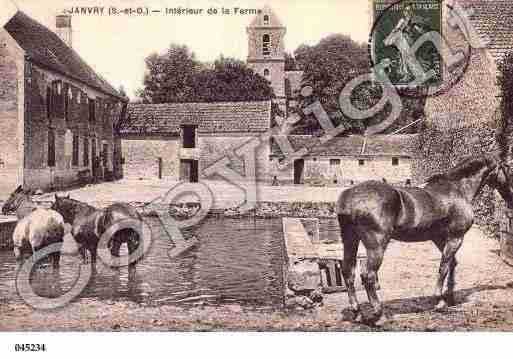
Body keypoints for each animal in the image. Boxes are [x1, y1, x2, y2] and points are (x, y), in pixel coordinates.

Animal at [336, 154, 512, 324]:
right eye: (508, 169)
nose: (510, 197)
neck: (458, 190)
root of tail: (349, 197)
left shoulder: (440, 238)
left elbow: (451, 264)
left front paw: (449, 298)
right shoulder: (456, 237)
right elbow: (443, 267)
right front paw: (439, 302)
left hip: (350, 240)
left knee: (348, 272)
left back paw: (357, 312)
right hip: (377, 246)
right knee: (368, 276)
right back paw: (379, 315)